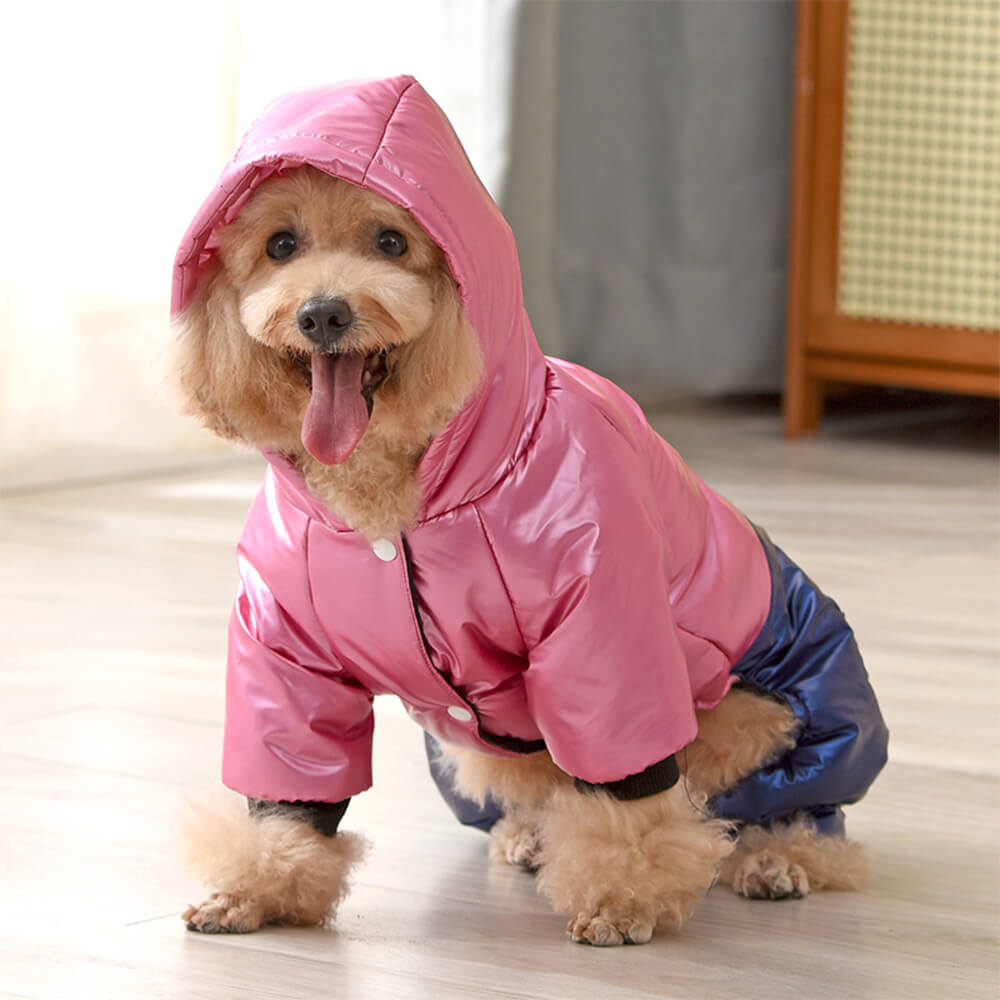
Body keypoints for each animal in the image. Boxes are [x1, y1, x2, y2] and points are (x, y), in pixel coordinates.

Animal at [172, 78, 892, 944]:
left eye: (390, 242)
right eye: (281, 245)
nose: (323, 314)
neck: (408, 500)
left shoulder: (606, 630)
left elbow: (630, 791)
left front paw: (622, 898)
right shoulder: (284, 648)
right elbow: (292, 784)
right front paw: (259, 884)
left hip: (776, 721)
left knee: (796, 821)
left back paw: (775, 859)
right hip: (479, 751)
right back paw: (529, 836)